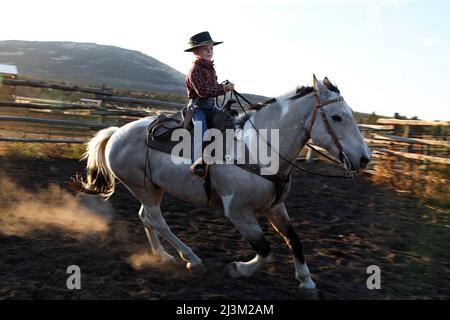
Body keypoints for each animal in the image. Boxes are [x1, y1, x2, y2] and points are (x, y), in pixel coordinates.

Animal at [80, 75, 370, 290]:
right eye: (336, 117)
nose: (364, 158)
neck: (257, 149)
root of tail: (116, 132)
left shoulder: (275, 207)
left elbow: (294, 239)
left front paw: (306, 280)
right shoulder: (238, 212)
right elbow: (265, 249)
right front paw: (239, 269)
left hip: (152, 188)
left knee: (146, 218)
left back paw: (162, 255)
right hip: (143, 188)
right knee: (156, 221)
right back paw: (192, 260)